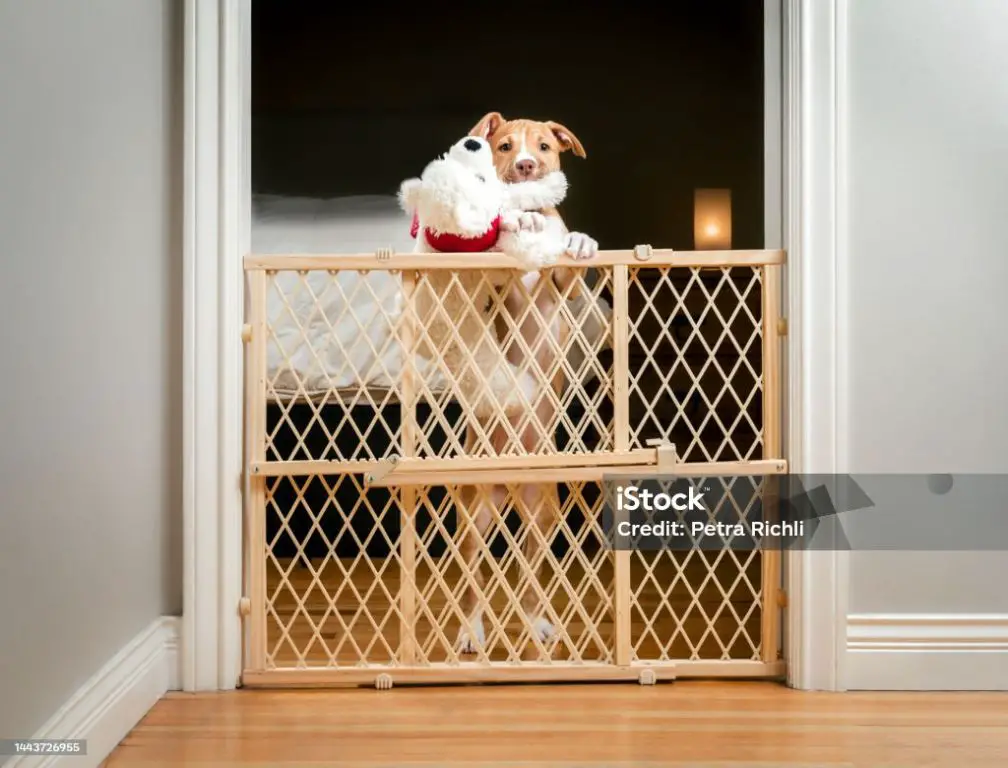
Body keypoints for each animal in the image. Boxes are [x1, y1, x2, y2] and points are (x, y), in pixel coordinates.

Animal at [455, 112, 600, 653]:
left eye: (543, 145)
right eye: (503, 145)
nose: (525, 165)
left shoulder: (566, 286)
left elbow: (568, 263)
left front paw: (580, 242)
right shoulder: (496, 285)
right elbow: (501, 256)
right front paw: (518, 224)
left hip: (544, 515)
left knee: (534, 576)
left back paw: (538, 624)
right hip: (474, 515)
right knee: (473, 583)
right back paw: (471, 632)